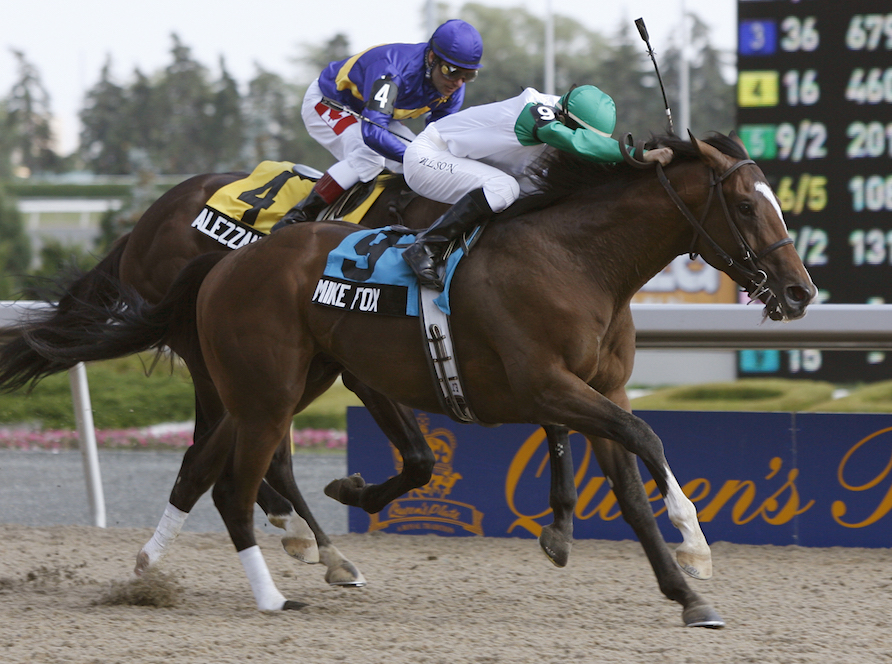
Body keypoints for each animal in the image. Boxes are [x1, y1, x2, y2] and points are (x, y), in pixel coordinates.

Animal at [20, 132, 816, 624]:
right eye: (746, 203)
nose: (801, 290)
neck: (577, 260)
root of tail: (217, 257)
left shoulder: (596, 390)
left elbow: (624, 486)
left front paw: (680, 592)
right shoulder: (546, 385)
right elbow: (643, 436)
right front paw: (694, 544)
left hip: (275, 385)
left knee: (202, 464)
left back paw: (155, 567)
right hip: (263, 386)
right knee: (237, 475)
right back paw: (281, 577)